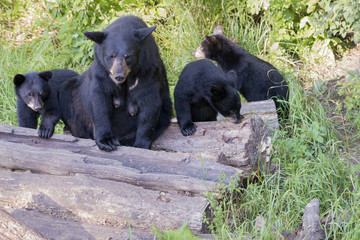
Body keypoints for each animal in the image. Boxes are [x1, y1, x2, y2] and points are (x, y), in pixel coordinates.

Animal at [62, 15, 172, 151]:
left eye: (127, 56)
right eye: (111, 56)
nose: (118, 76)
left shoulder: (148, 70)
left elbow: (149, 104)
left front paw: (141, 144)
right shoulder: (102, 71)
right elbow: (99, 100)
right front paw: (106, 140)